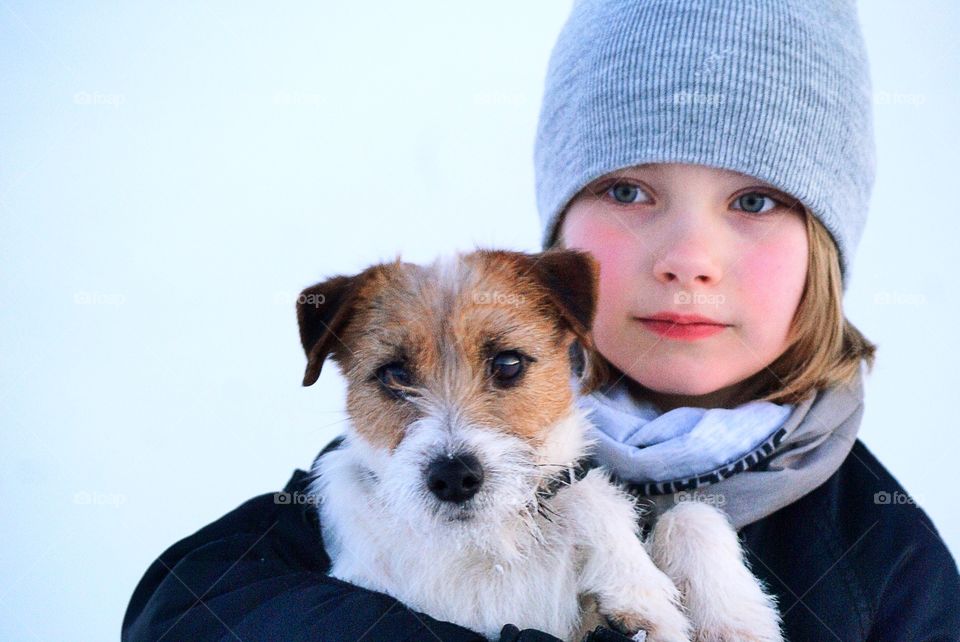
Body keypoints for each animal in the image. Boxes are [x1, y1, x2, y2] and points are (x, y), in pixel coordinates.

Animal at [296, 248, 784, 636]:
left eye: (508, 363)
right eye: (394, 374)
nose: (453, 476)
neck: (486, 545)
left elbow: (677, 513)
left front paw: (722, 618)